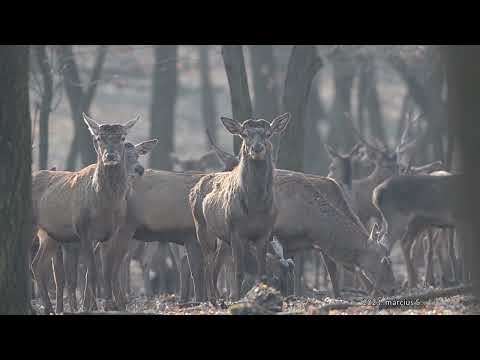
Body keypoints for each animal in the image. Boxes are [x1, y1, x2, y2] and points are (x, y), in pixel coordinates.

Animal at [31, 114, 140, 314]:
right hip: (31, 224)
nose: (110, 155)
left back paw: (48, 308)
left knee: (37, 264)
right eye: (99, 138)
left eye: (122, 137)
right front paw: (90, 307)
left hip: (49, 235)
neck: (105, 207)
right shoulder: (83, 229)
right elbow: (92, 271)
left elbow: (105, 270)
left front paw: (108, 304)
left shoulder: (110, 233)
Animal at [189, 114, 290, 300]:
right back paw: (213, 299)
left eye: (268, 134)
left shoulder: (265, 232)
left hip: (222, 239)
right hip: (201, 227)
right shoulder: (236, 232)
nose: (257, 148)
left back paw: (218, 297)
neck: (255, 207)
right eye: (244, 134)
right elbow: (239, 272)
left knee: (216, 266)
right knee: (208, 263)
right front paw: (236, 298)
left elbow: (261, 273)